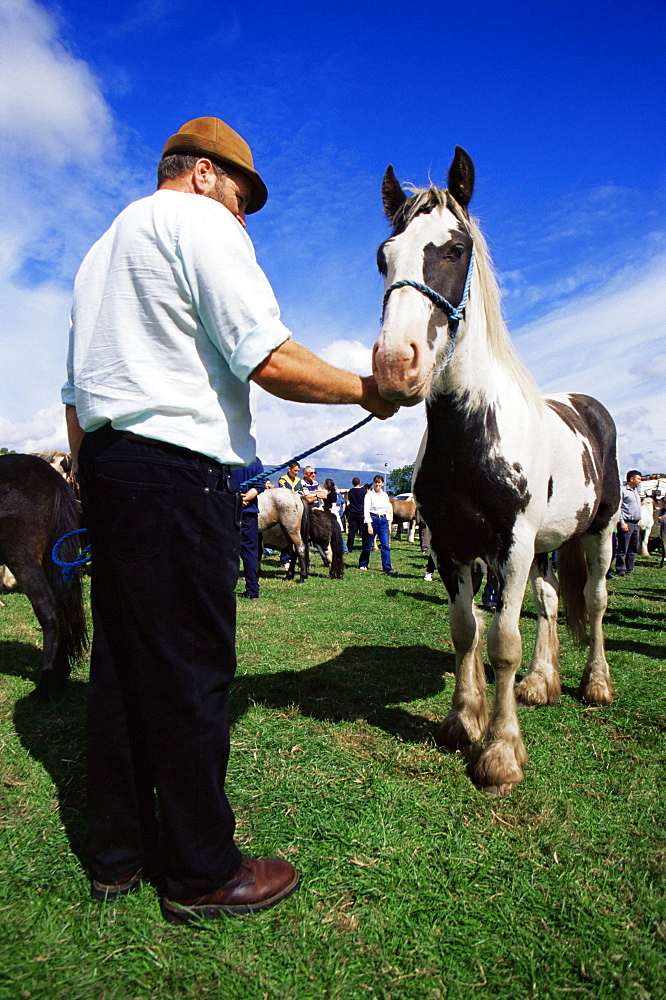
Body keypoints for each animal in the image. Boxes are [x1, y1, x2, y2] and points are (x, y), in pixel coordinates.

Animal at [370, 146, 620, 796]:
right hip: (548, 544)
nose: (395, 365)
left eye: (455, 249)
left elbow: (503, 641)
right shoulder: (452, 544)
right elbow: (467, 631)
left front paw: (502, 753)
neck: (474, 433)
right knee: (552, 600)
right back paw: (541, 683)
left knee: (596, 601)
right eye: (383, 255)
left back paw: (595, 684)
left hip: (599, 531)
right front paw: (464, 721)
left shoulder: (511, 543)